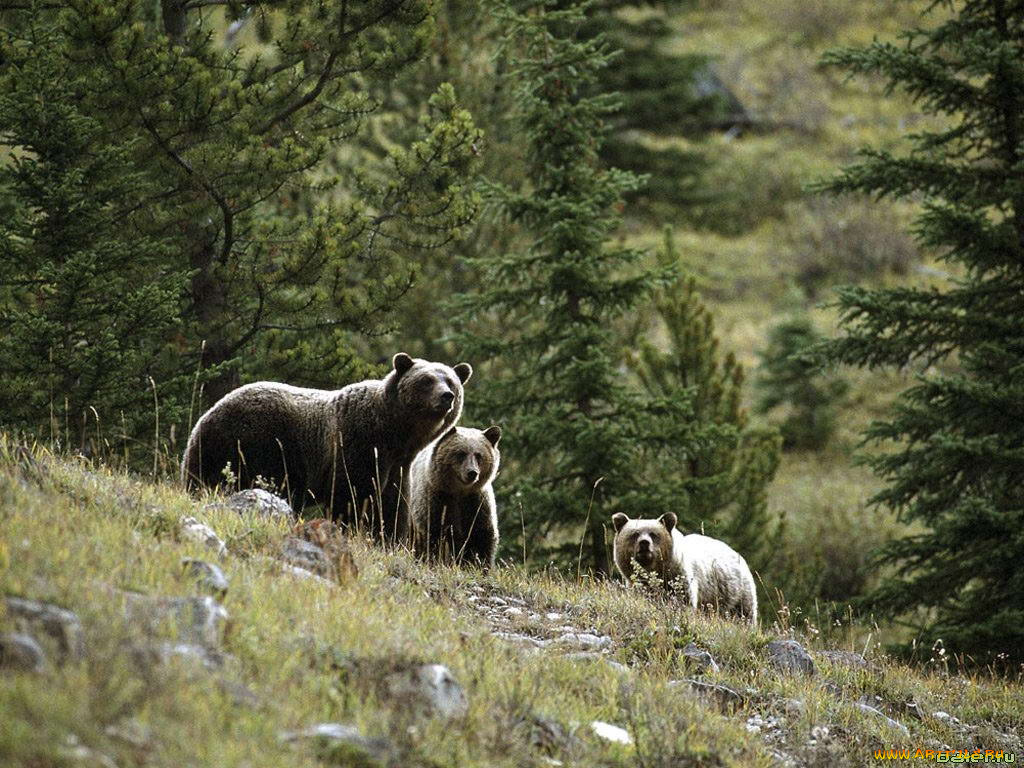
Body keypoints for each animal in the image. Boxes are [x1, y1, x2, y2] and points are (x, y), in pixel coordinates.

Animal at [182, 354, 468, 540]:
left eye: (451, 380)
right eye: (427, 380)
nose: (447, 396)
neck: (394, 434)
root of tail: (204, 418)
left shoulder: (397, 464)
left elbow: (392, 504)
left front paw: (387, 537)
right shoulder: (358, 443)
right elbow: (352, 494)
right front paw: (352, 529)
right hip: (257, 443)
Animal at [409, 428, 501, 573]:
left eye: (478, 455)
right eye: (461, 453)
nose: (472, 472)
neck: (459, 492)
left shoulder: (477, 504)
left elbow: (482, 538)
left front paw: (481, 567)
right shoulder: (437, 501)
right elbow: (433, 535)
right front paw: (433, 562)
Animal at [610, 514, 757, 626]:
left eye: (653, 534)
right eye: (635, 533)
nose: (644, 543)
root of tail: (737, 554)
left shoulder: (680, 577)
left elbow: (683, 601)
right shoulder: (636, 585)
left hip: (736, 592)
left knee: (744, 613)